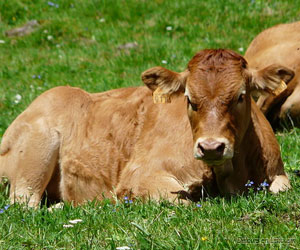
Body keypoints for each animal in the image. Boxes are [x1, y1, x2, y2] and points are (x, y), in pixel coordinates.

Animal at [0, 48, 290, 207]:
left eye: (241, 96)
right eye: (189, 99)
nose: (211, 147)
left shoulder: (278, 174)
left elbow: (282, 189)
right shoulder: (141, 174)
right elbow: (180, 202)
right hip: (36, 155)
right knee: (24, 204)